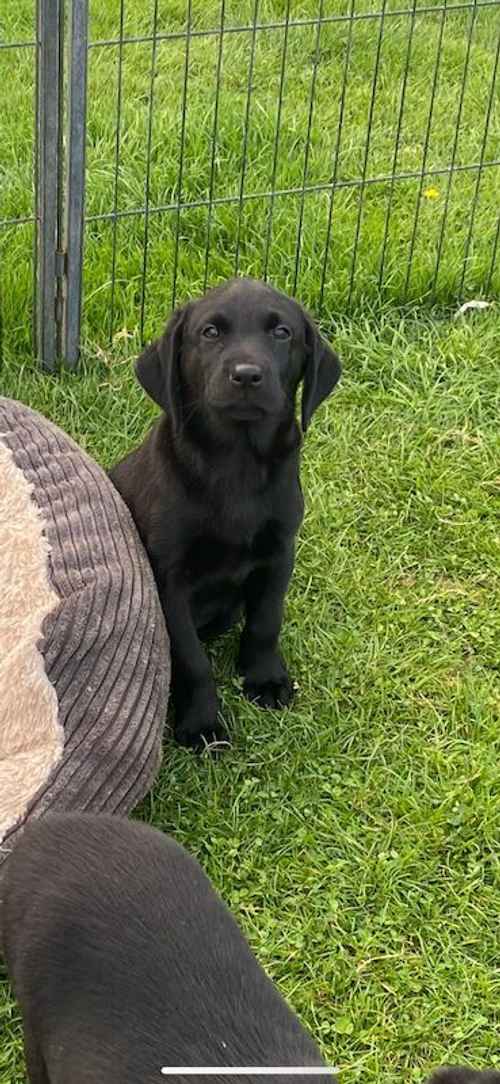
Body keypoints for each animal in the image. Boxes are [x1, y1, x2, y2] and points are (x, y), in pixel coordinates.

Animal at [109, 277, 340, 745]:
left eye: (282, 333)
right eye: (210, 332)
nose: (247, 375)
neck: (237, 462)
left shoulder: (279, 553)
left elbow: (266, 621)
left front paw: (264, 679)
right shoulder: (170, 579)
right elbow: (191, 658)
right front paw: (201, 724)